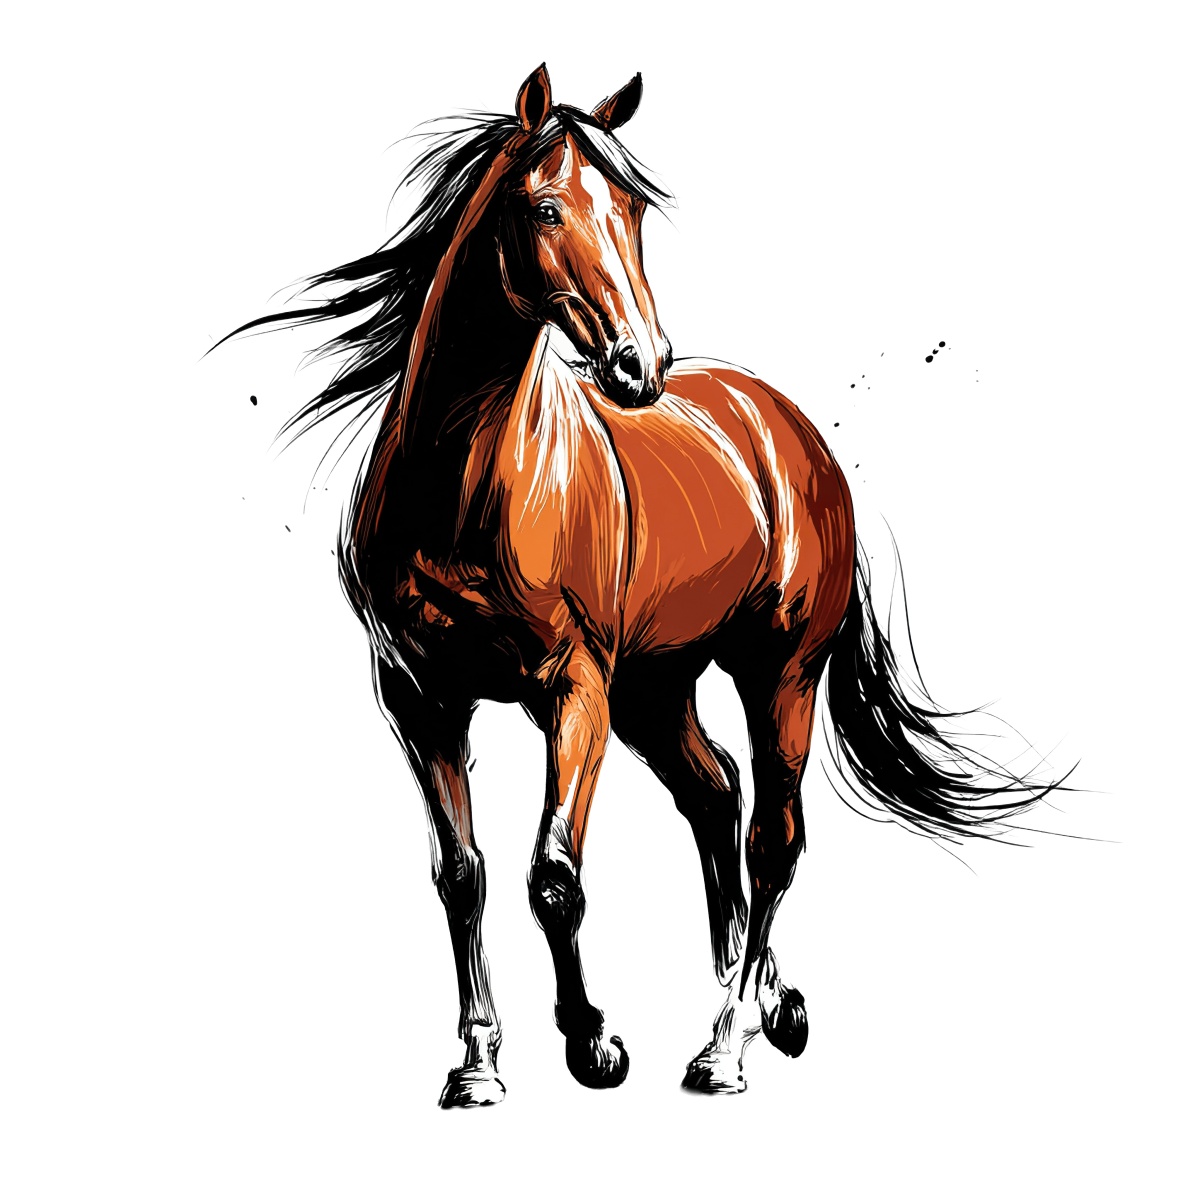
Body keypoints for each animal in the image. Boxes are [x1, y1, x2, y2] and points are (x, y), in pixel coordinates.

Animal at [220, 65, 1062, 1106]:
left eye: (632, 209)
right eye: (544, 207)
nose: (639, 361)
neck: (462, 489)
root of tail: (789, 431)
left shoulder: (573, 688)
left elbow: (553, 876)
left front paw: (592, 1042)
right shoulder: (419, 698)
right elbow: (462, 874)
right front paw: (478, 1065)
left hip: (778, 674)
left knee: (773, 836)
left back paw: (727, 1046)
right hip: (655, 690)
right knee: (718, 794)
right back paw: (768, 1000)